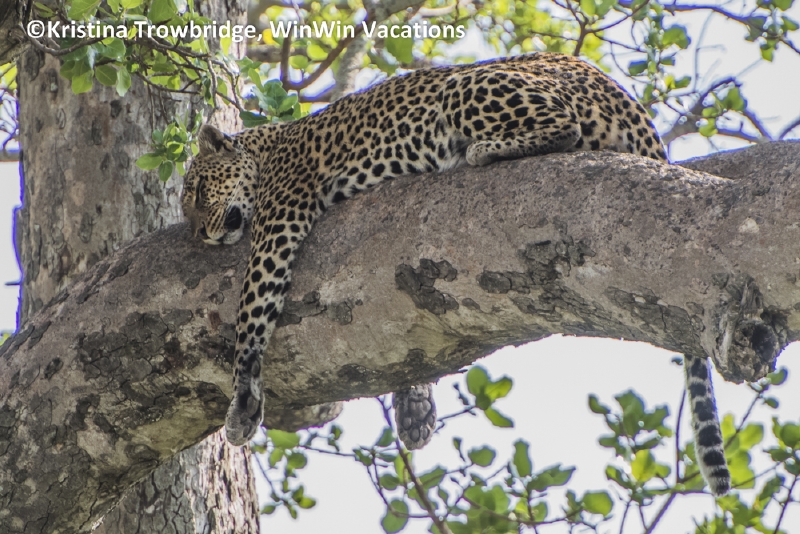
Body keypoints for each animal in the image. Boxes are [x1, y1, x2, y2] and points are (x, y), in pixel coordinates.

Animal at [181, 52, 730, 496]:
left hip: (467, 85)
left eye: (197, 192)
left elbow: (251, 310)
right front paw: (415, 409)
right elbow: (404, 346)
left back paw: (482, 149)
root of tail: (626, 99)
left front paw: (243, 404)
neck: (266, 146)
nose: (200, 235)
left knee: (565, 126)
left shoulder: (280, 218)